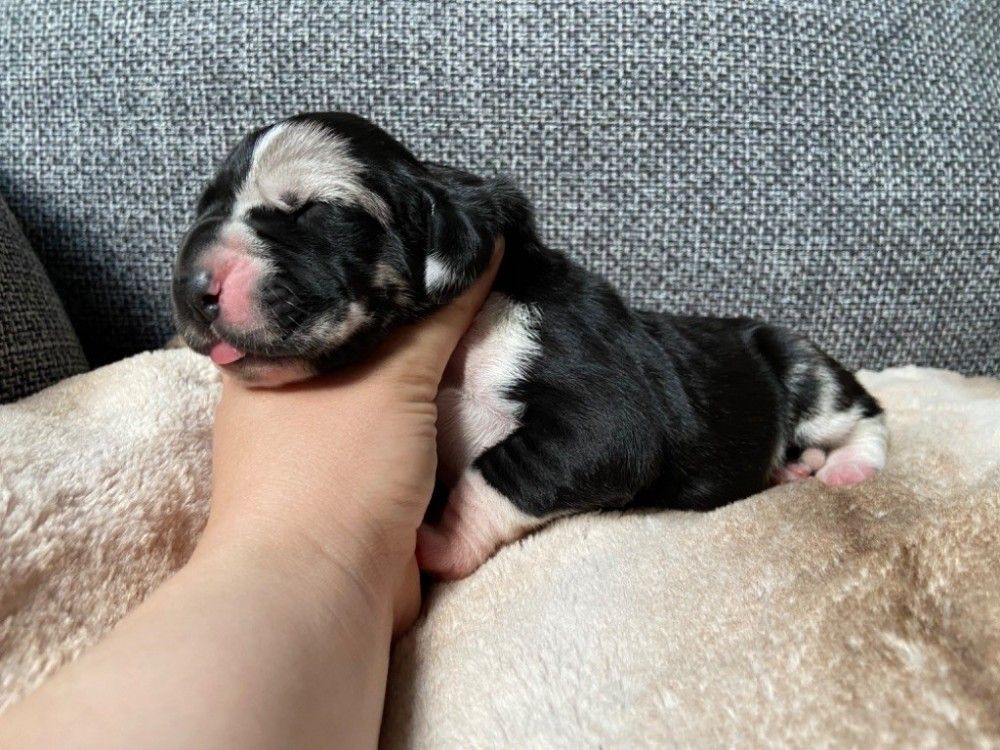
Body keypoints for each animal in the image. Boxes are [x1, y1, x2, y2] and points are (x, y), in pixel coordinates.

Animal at [173, 112, 888, 579]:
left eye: (306, 211)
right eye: (205, 208)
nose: (189, 284)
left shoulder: (600, 419)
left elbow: (498, 473)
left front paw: (437, 544)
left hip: (801, 366)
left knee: (864, 413)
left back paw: (846, 467)